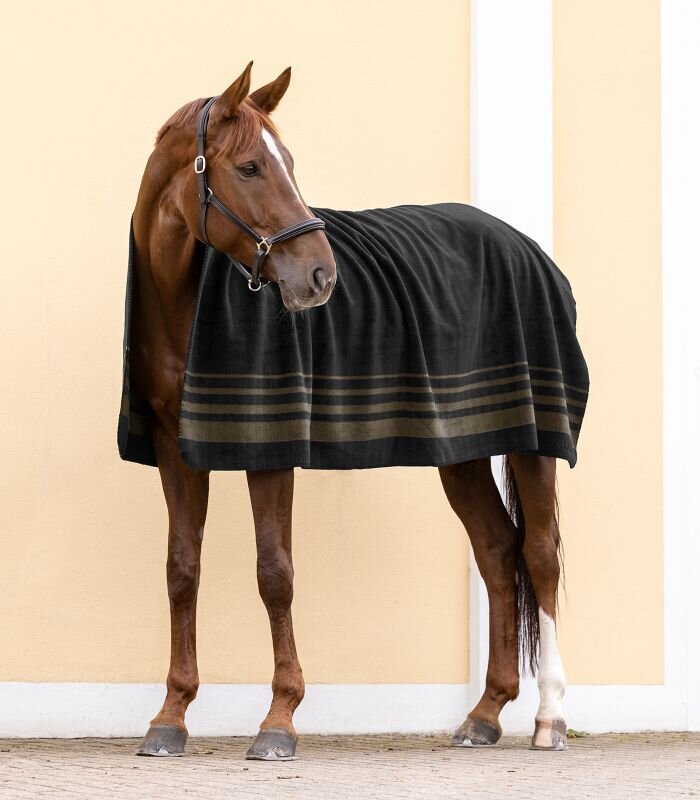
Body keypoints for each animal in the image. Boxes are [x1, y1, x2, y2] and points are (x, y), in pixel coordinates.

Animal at [123, 62, 585, 761]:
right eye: (251, 167)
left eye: (289, 162)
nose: (320, 277)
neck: (182, 307)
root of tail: (528, 249)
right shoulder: (176, 449)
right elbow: (182, 570)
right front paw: (170, 717)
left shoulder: (269, 446)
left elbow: (275, 573)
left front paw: (279, 720)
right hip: (464, 452)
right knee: (496, 550)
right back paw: (483, 715)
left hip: (534, 442)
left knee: (539, 556)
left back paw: (550, 719)